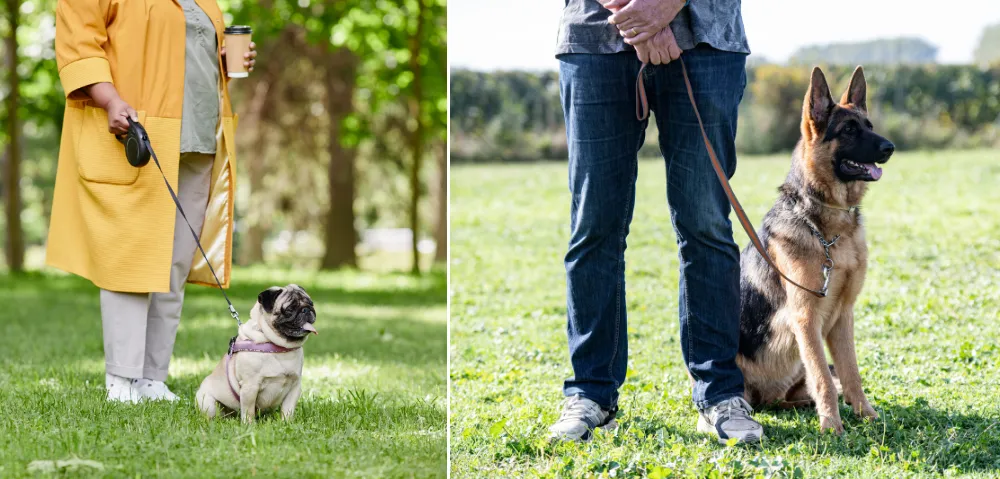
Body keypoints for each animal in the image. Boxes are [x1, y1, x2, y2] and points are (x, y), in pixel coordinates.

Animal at [740, 65, 896, 436]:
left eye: (869, 125)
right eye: (849, 129)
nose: (891, 147)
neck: (829, 229)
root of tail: (766, 397)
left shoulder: (843, 316)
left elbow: (850, 373)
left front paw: (866, 415)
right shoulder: (806, 318)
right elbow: (824, 377)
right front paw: (831, 427)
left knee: (798, 393)